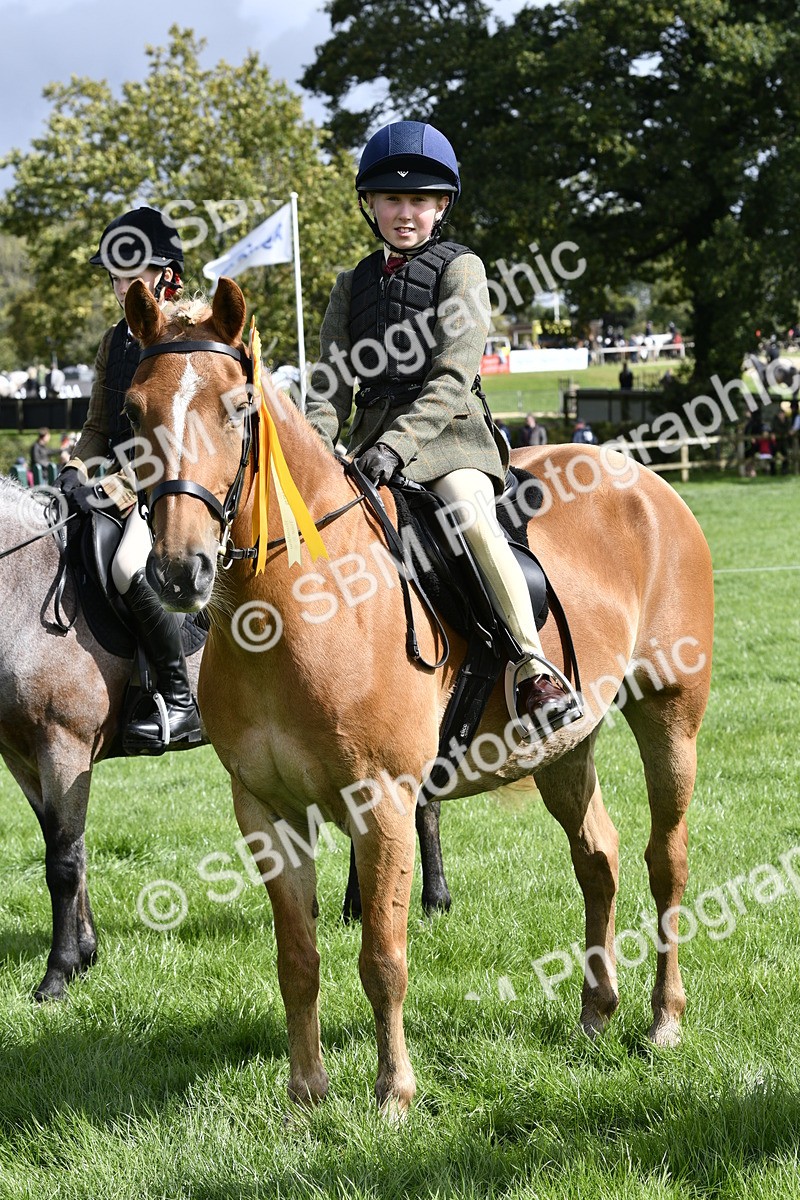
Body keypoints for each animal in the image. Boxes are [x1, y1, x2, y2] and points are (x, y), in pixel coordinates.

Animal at [124, 277, 714, 1113]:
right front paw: (306, 1096)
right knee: (598, 858)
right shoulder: (267, 812)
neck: (292, 601)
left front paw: (393, 1093)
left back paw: (664, 1018)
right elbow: (297, 960)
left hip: (669, 716)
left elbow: (383, 956)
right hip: (566, 746)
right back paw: (596, 1011)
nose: (180, 571)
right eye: (133, 411)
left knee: (666, 860)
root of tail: (646, 481)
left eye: (236, 408)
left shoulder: (384, 804)